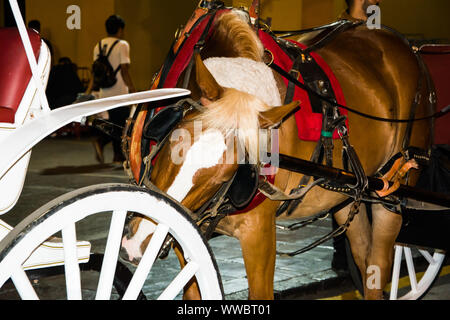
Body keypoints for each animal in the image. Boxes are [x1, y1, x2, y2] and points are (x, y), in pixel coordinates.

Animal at [119, 9, 432, 300]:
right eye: (174, 140)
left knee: (379, 264)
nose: (138, 245)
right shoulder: (187, 229)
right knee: (363, 253)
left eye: (228, 173)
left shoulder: (258, 232)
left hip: (391, 193)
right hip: (346, 193)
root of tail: (407, 47)